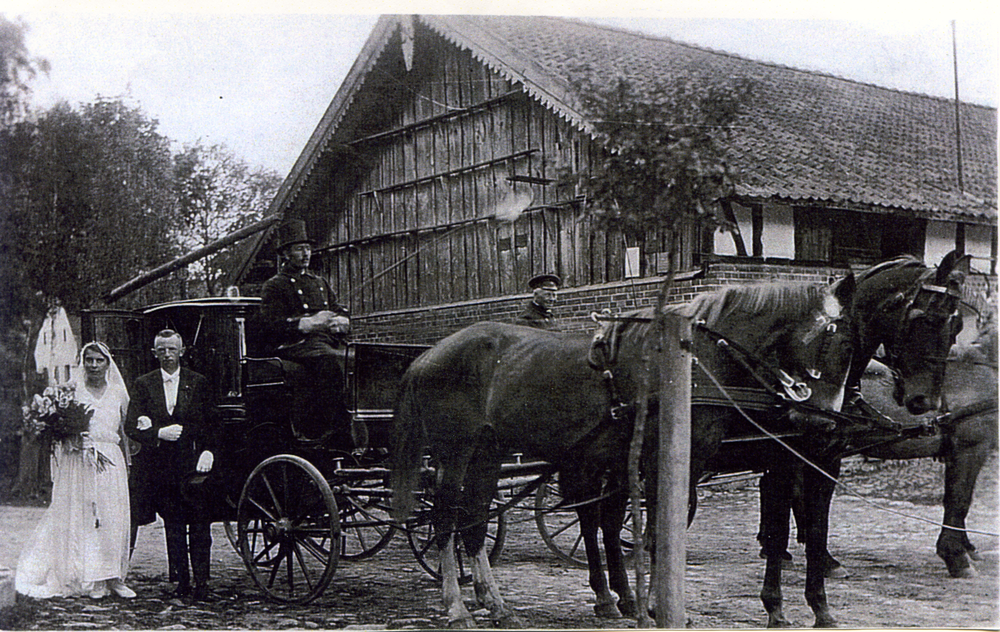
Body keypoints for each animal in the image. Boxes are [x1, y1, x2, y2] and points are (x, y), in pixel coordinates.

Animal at [388, 280, 852, 628]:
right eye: (835, 340)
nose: (824, 423)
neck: (694, 360)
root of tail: (428, 354)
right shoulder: (669, 463)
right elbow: (655, 530)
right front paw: (656, 606)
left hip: (488, 452)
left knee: (474, 519)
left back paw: (495, 603)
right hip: (455, 451)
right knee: (445, 518)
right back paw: (456, 606)